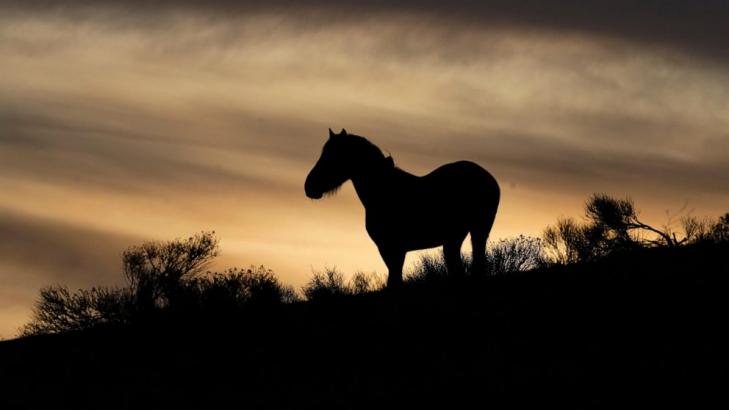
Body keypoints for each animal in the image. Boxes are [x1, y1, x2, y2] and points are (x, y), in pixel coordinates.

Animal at [302, 129, 500, 288]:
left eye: (332, 156)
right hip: (457, 237)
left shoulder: (393, 248)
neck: (385, 192)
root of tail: (488, 177)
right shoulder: (390, 250)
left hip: (476, 231)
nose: (309, 187)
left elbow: (394, 281)